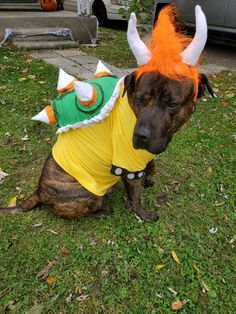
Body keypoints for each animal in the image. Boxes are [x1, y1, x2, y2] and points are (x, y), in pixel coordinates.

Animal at [0, 72, 214, 222]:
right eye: (140, 99)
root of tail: (39, 191)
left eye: (172, 103)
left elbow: (151, 162)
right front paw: (143, 214)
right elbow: (135, 196)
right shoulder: (128, 163)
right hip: (89, 195)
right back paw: (101, 212)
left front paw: (150, 177)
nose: (141, 135)